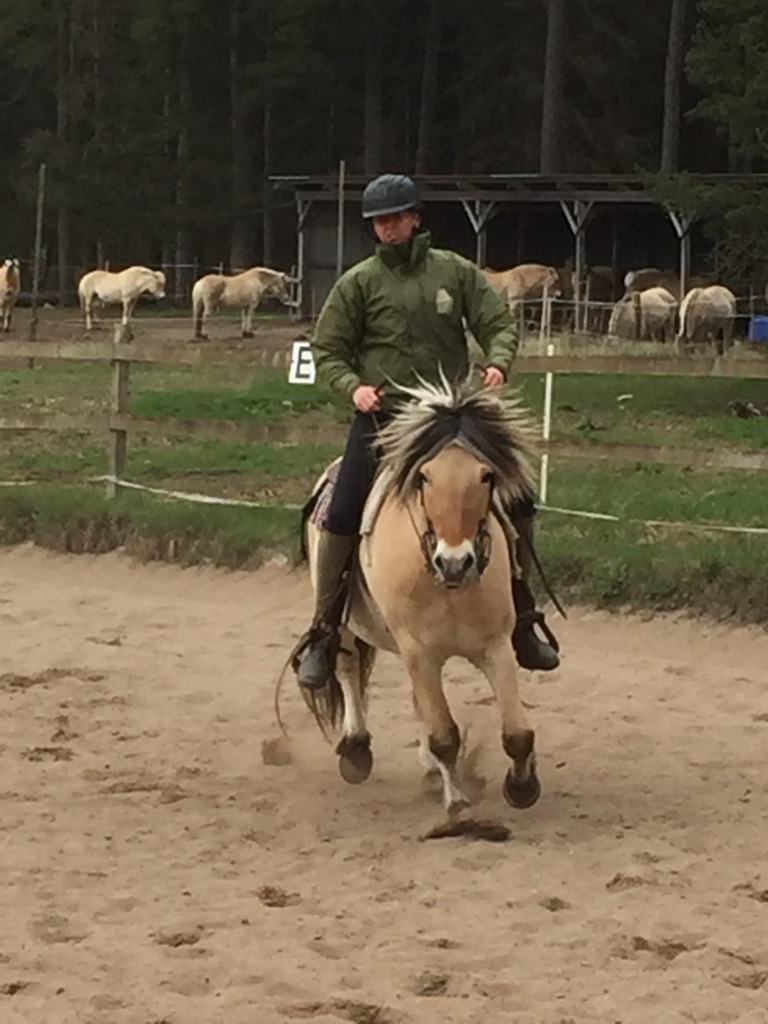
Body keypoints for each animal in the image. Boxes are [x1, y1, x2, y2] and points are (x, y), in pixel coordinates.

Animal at [295, 375, 542, 815]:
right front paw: (458, 804)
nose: (456, 562)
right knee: (347, 668)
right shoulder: (418, 651)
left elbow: (517, 732)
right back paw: (356, 747)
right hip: (346, 627)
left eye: (486, 476)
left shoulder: (494, 646)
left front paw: (522, 785)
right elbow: (444, 735)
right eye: (424, 477)